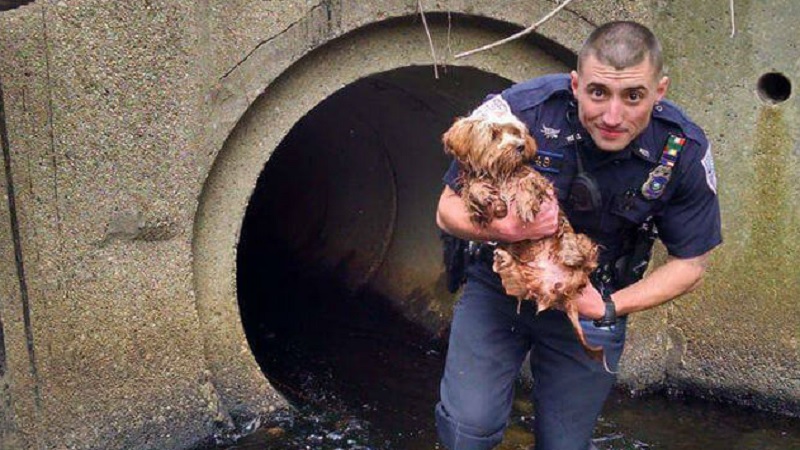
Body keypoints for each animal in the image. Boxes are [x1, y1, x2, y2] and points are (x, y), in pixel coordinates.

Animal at [440, 99, 604, 362]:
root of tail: (562, 290)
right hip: (524, 279)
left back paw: (570, 252)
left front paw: (525, 203)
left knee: (584, 255)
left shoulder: (540, 184)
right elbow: (473, 190)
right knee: (518, 286)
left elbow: (529, 182)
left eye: (517, 132)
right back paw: (505, 262)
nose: (520, 146)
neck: (502, 172)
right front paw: (483, 195)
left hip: (581, 244)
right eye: (494, 134)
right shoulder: (473, 190)